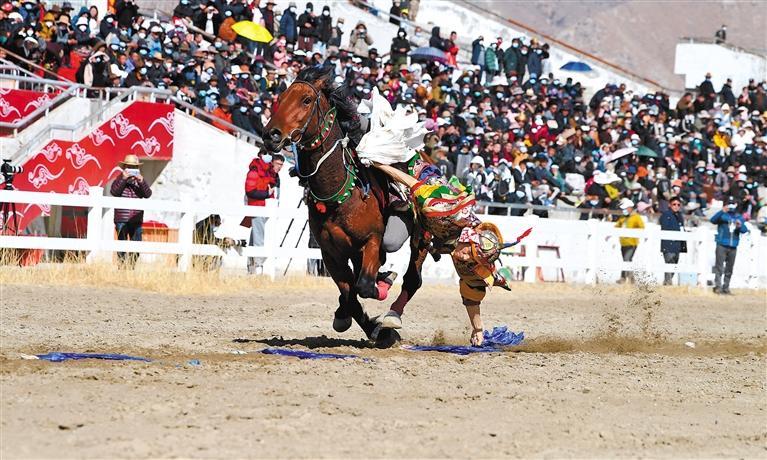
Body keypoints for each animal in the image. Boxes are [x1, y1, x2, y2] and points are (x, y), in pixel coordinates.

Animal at [264, 66, 428, 346]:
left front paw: (383, 321)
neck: (339, 195)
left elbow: (364, 286)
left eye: (306, 100)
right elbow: (350, 294)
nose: (271, 134)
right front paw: (361, 322)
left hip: (420, 238)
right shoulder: (330, 254)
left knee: (411, 279)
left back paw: (392, 314)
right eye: (281, 97)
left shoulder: (371, 241)